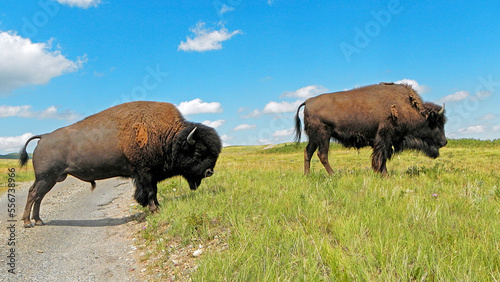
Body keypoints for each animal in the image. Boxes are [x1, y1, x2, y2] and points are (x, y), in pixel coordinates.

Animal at [20, 101, 221, 227]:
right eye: (198, 151)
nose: (209, 172)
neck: (168, 136)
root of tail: (44, 137)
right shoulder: (144, 173)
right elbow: (149, 192)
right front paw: (155, 210)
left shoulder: (148, 174)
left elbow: (153, 192)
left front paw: (157, 207)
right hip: (46, 177)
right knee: (33, 194)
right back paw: (28, 222)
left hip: (53, 179)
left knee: (39, 196)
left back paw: (38, 220)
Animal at [294, 82, 448, 175]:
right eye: (437, 123)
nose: (444, 141)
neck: (406, 107)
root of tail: (308, 101)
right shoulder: (384, 138)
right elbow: (381, 156)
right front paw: (384, 175)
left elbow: (383, 157)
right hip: (323, 135)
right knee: (322, 154)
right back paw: (334, 175)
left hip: (314, 137)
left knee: (308, 152)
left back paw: (307, 175)